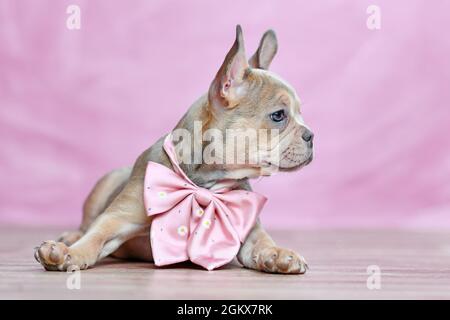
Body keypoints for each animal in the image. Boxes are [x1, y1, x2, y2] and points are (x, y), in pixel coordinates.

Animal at [35, 25, 312, 276]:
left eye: (300, 114)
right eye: (279, 115)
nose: (311, 135)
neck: (205, 183)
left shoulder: (249, 228)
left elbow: (262, 241)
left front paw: (278, 253)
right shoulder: (118, 217)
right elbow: (95, 235)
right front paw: (68, 253)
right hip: (102, 187)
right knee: (86, 225)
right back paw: (70, 237)